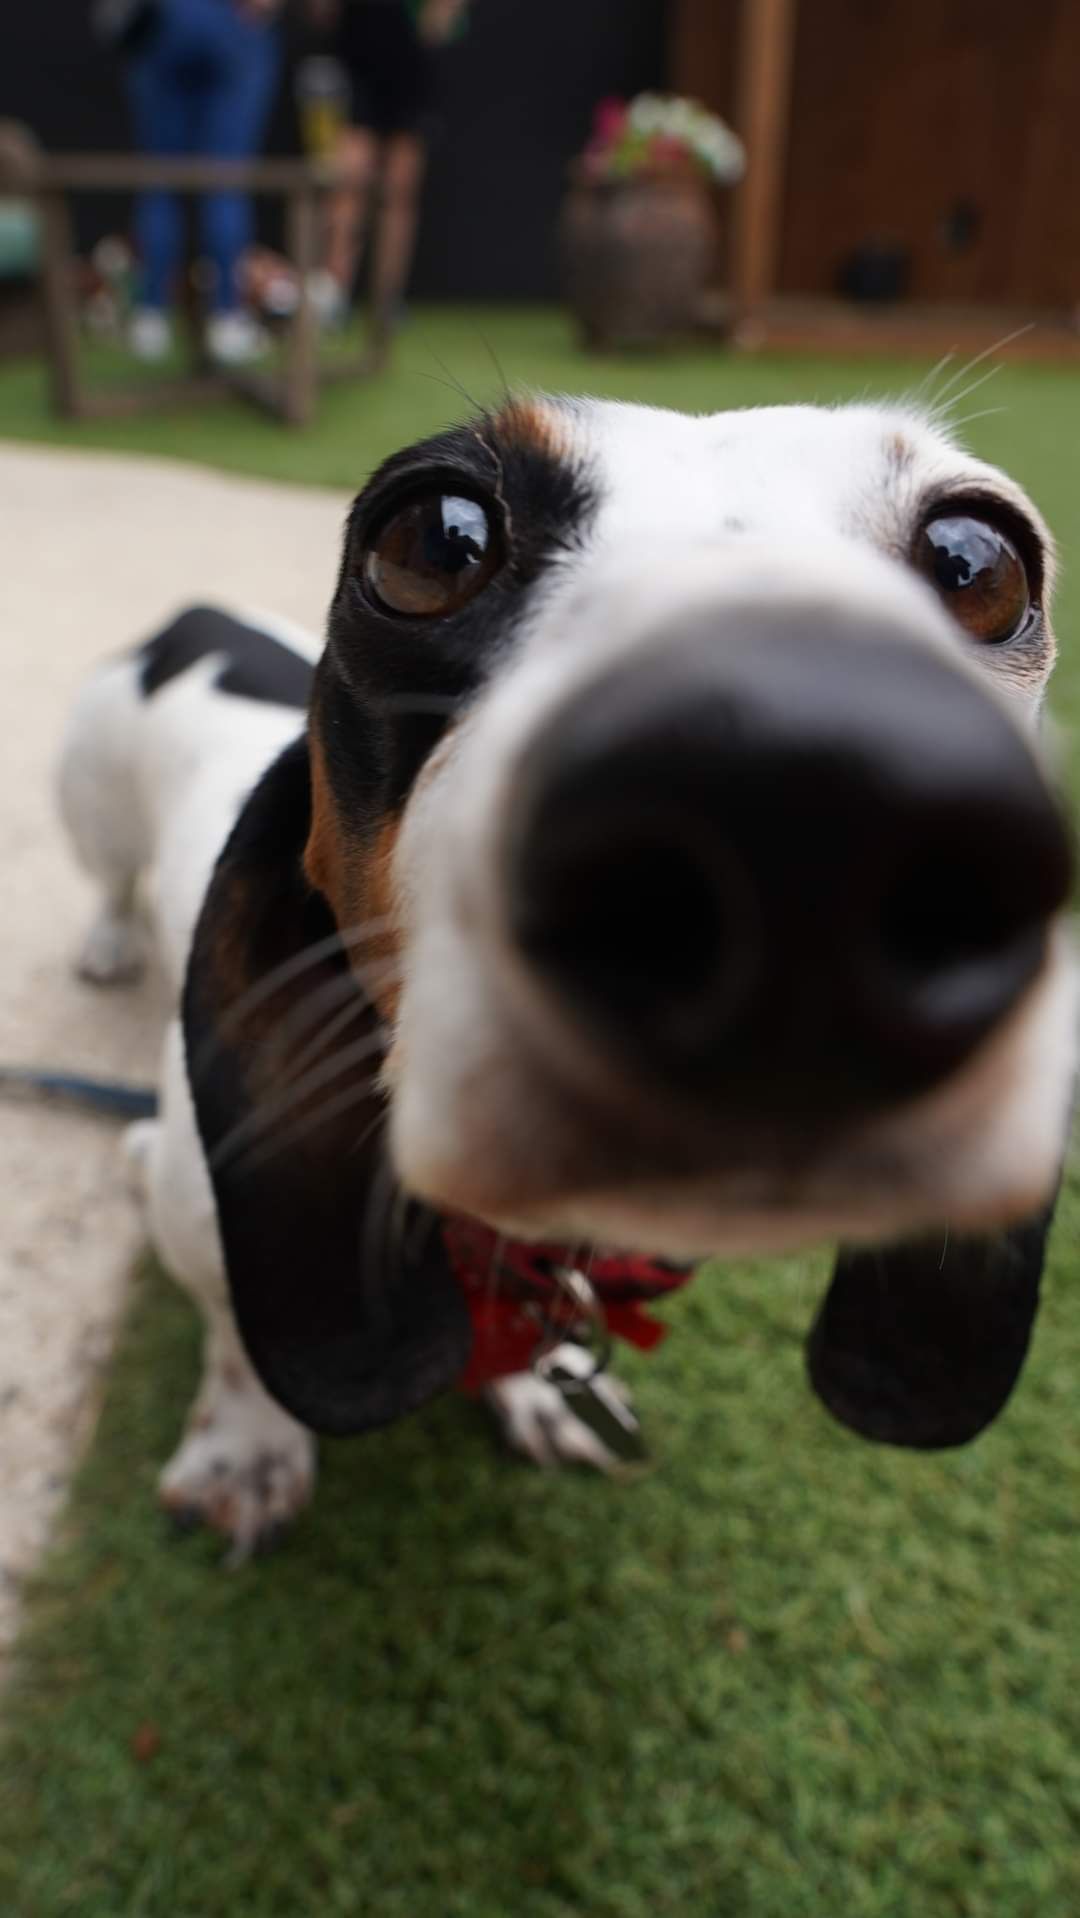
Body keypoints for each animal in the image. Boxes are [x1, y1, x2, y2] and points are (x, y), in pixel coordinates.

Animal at [57, 397, 1074, 1549]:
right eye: (432, 540)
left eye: (978, 562)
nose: (812, 787)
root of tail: (197, 616)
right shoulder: (180, 1192)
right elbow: (233, 1330)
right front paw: (245, 1450)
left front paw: (537, 1393)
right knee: (108, 880)